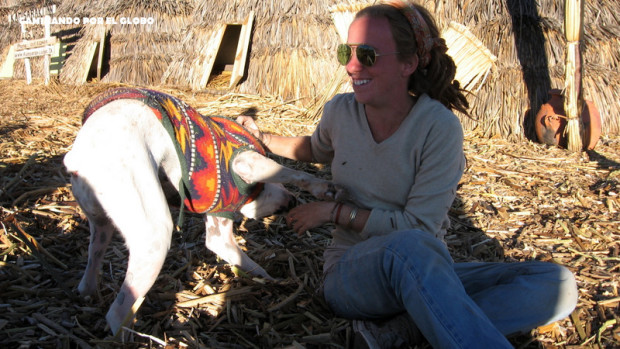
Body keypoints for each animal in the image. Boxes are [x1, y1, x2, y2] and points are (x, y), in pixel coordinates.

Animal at [65, 87, 346, 334]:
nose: (292, 202)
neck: (254, 193)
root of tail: (77, 158)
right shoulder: (247, 161)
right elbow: (293, 173)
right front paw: (324, 188)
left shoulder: (220, 236)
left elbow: (249, 263)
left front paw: (271, 281)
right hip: (153, 237)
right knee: (117, 313)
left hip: (102, 227)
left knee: (90, 270)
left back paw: (89, 296)